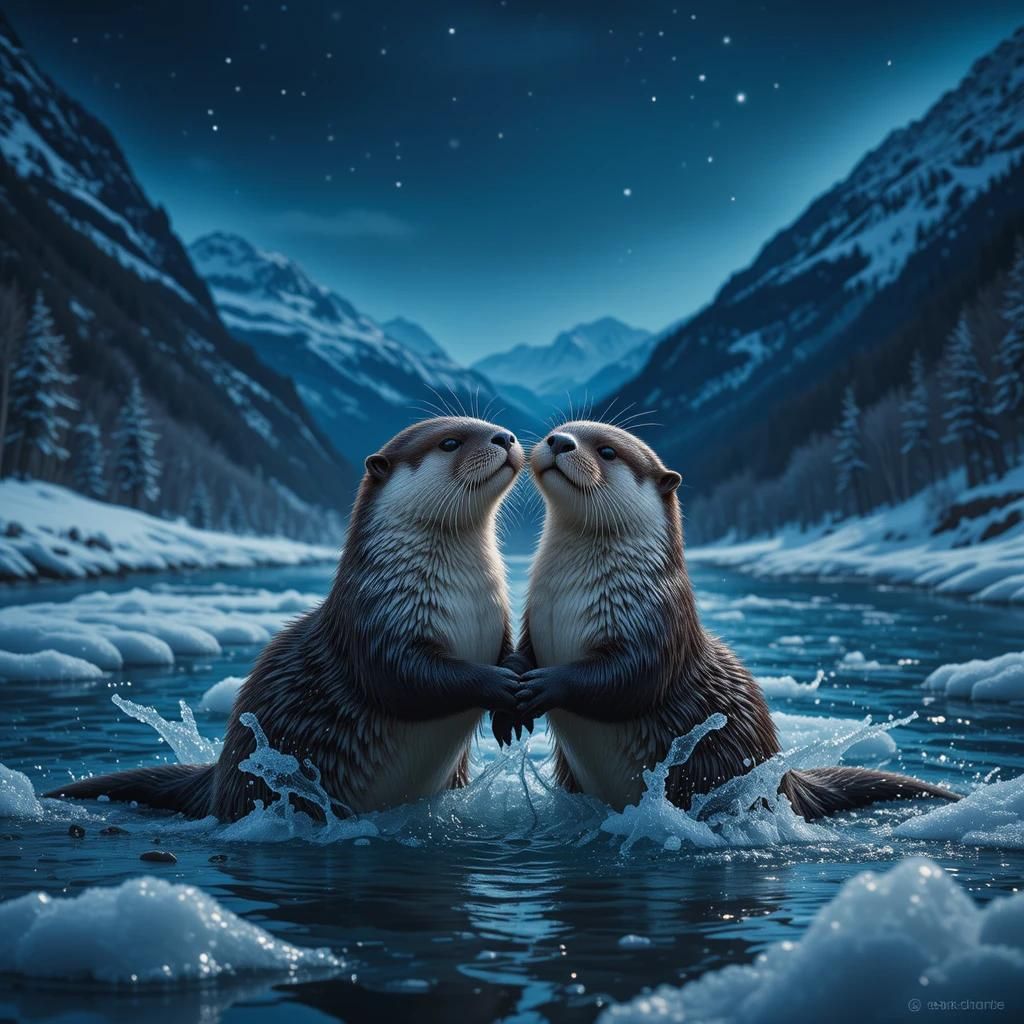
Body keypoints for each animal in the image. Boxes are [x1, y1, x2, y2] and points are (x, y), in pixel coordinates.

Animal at [48, 417, 525, 821]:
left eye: (488, 423)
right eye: (451, 442)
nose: (505, 437)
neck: (464, 600)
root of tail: (217, 779)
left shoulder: (497, 618)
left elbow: (505, 650)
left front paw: (516, 688)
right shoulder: (376, 623)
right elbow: (404, 679)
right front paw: (500, 685)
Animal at [504, 420, 958, 820]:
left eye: (607, 451)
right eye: (559, 429)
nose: (560, 442)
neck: (567, 599)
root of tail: (789, 782)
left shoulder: (656, 623)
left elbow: (630, 678)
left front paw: (545, 684)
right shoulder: (534, 617)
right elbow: (525, 651)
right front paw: (510, 684)